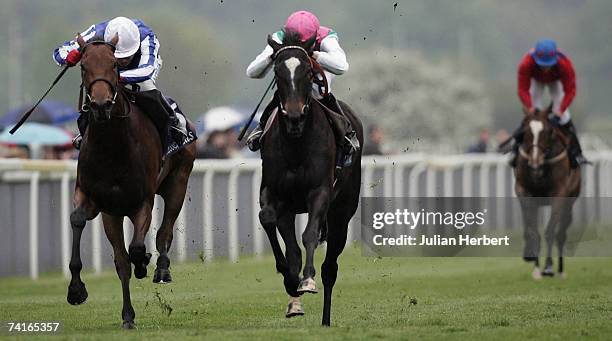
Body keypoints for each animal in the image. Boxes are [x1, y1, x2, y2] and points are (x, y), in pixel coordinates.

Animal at [65, 34, 194, 326]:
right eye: (83, 66)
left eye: (114, 65)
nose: (101, 105)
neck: (112, 146)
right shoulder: (101, 205)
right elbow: (117, 257)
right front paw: (78, 291)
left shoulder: (142, 202)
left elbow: (136, 248)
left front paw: (144, 262)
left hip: (178, 183)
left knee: (165, 231)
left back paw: (161, 269)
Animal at [258, 30, 364, 326]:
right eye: (278, 71)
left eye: (308, 71)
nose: (294, 115)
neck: (296, 143)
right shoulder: (275, 194)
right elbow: (268, 220)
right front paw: (290, 280)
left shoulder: (320, 193)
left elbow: (310, 235)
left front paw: (307, 280)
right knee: (293, 250)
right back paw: (294, 300)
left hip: (342, 212)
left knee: (330, 267)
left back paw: (325, 319)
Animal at [512, 105, 580, 278]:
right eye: (525, 130)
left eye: (549, 131)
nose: (535, 162)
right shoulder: (524, 193)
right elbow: (532, 231)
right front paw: (535, 266)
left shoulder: (559, 194)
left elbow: (550, 231)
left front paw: (548, 267)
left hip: (570, 200)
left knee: (561, 233)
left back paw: (560, 270)